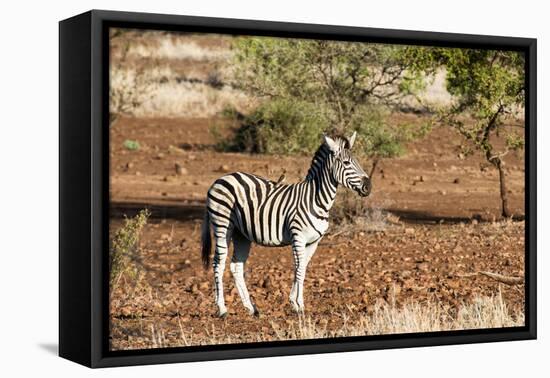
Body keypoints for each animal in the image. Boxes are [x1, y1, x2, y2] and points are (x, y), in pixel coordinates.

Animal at [201, 131, 374, 318]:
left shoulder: (314, 241)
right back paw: (222, 309)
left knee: (236, 267)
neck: (316, 200)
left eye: (356, 161)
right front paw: (298, 305)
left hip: (241, 234)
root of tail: (219, 179)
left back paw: (252, 308)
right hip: (222, 224)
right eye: (346, 163)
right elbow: (298, 269)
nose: (368, 187)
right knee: (218, 264)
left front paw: (296, 303)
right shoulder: (298, 238)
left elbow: (303, 268)